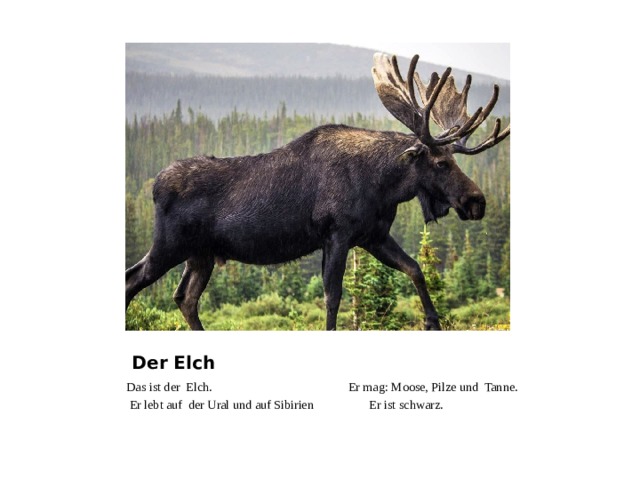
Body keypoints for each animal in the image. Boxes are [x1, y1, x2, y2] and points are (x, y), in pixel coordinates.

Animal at [125, 53, 510, 330]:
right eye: (441, 163)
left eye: (453, 160)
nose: (477, 201)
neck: (383, 185)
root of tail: (155, 185)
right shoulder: (336, 235)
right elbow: (333, 296)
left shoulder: (373, 236)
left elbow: (415, 268)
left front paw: (432, 322)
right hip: (169, 246)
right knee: (134, 280)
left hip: (201, 255)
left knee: (184, 298)